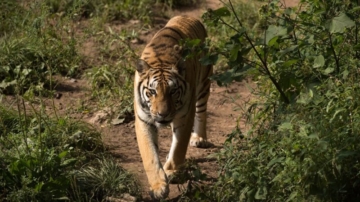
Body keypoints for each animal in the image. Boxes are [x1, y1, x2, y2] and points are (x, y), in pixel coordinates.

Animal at [134, 15, 212, 199]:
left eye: (173, 91)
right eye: (152, 92)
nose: (163, 114)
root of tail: (188, 16)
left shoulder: (184, 117)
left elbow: (179, 148)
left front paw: (171, 172)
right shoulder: (143, 121)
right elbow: (150, 155)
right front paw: (158, 187)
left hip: (204, 83)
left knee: (202, 111)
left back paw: (199, 138)